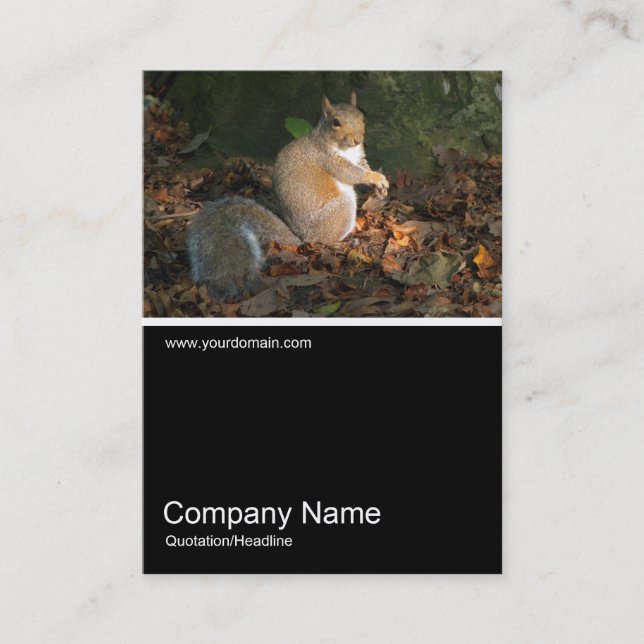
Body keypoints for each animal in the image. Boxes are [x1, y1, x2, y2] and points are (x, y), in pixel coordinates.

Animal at [187, 92, 389, 298]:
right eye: (336, 122)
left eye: (363, 117)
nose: (358, 139)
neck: (346, 149)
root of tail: (303, 238)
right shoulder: (327, 158)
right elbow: (350, 173)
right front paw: (375, 177)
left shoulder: (359, 157)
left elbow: (363, 166)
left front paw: (381, 187)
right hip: (340, 209)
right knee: (326, 240)